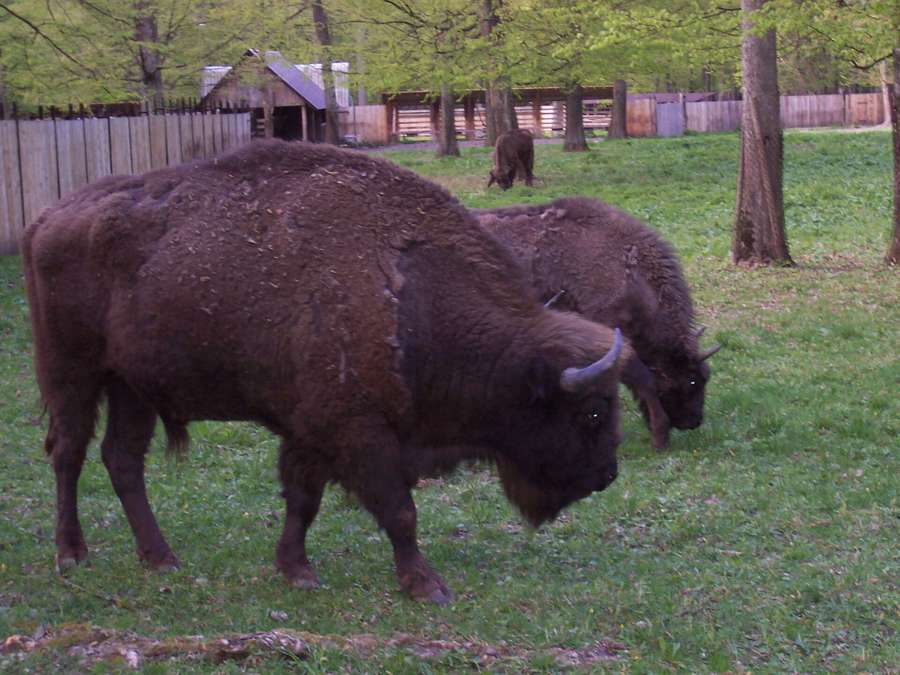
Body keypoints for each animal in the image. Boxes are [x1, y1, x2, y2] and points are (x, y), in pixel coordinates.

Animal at [23, 140, 628, 604]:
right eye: (593, 413)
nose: (606, 476)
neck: (412, 298)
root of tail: (46, 219)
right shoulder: (358, 431)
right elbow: (399, 510)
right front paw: (427, 586)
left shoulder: (310, 430)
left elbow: (303, 499)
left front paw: (296, 571)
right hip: (73, 374)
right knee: (68, 454)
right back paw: (72, 554)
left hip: (132, 387)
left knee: (123, 460)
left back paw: (161, 558)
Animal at [475, 197, 720, 449]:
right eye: (692, 380)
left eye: (706, 375)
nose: (693, 421)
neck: (627, 271)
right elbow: (642, 379)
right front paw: (660, 437)